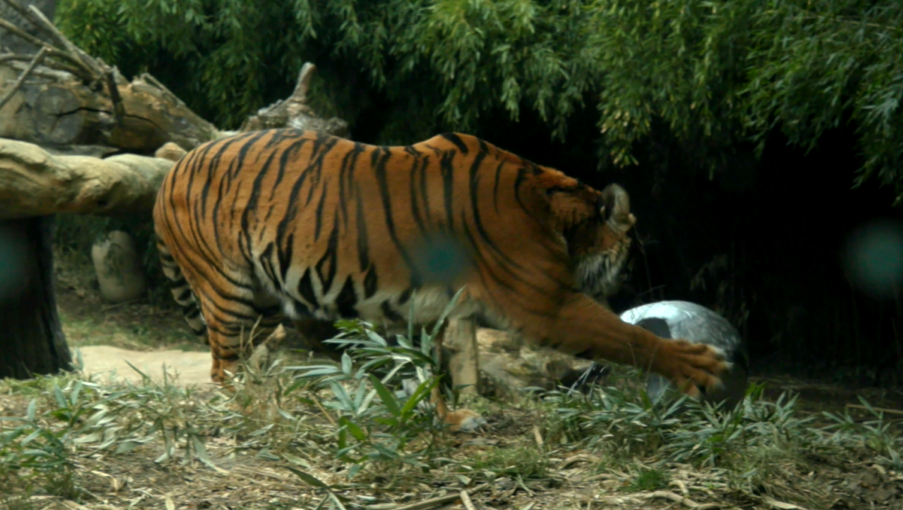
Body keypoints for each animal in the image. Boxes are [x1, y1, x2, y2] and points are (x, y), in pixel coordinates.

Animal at [154, 128, 736, 430]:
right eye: (632, 259)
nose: (633, 289)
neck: (554, 211)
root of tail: (173, 168)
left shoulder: (436, 310)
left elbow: (437, 369)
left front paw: (451, 418)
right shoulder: (547, 303)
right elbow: (625, 336)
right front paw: (700, 366)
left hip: (266, 292)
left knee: (249, 354)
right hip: (229, 287)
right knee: (223, 369)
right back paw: (257, 410)